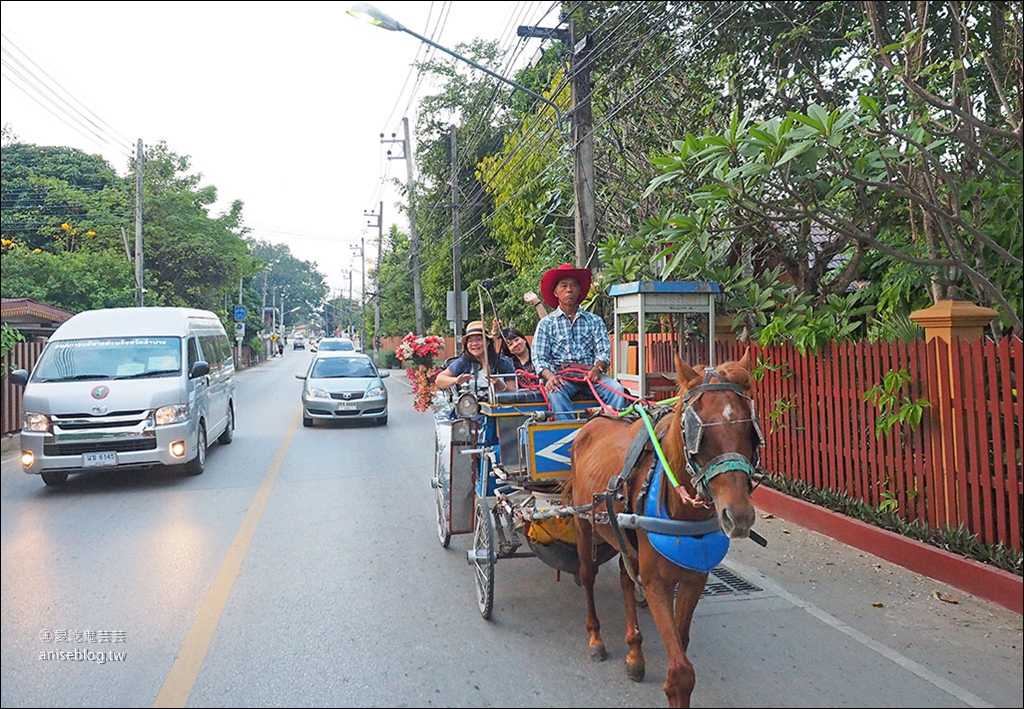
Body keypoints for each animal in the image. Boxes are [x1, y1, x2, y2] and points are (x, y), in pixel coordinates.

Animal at [565, 350, 765, 709]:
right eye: (696, 431)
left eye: (750, 429)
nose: (738, 516)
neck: (680, 510)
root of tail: (593, 419)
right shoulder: (658, 584)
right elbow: (682, 672)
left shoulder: (694, 579)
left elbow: (681, 644)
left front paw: (642, 655)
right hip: (583, 523)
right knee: (587, 574)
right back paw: (596, 637)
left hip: (623, 536)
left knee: (625, 579)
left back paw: (634, 652)